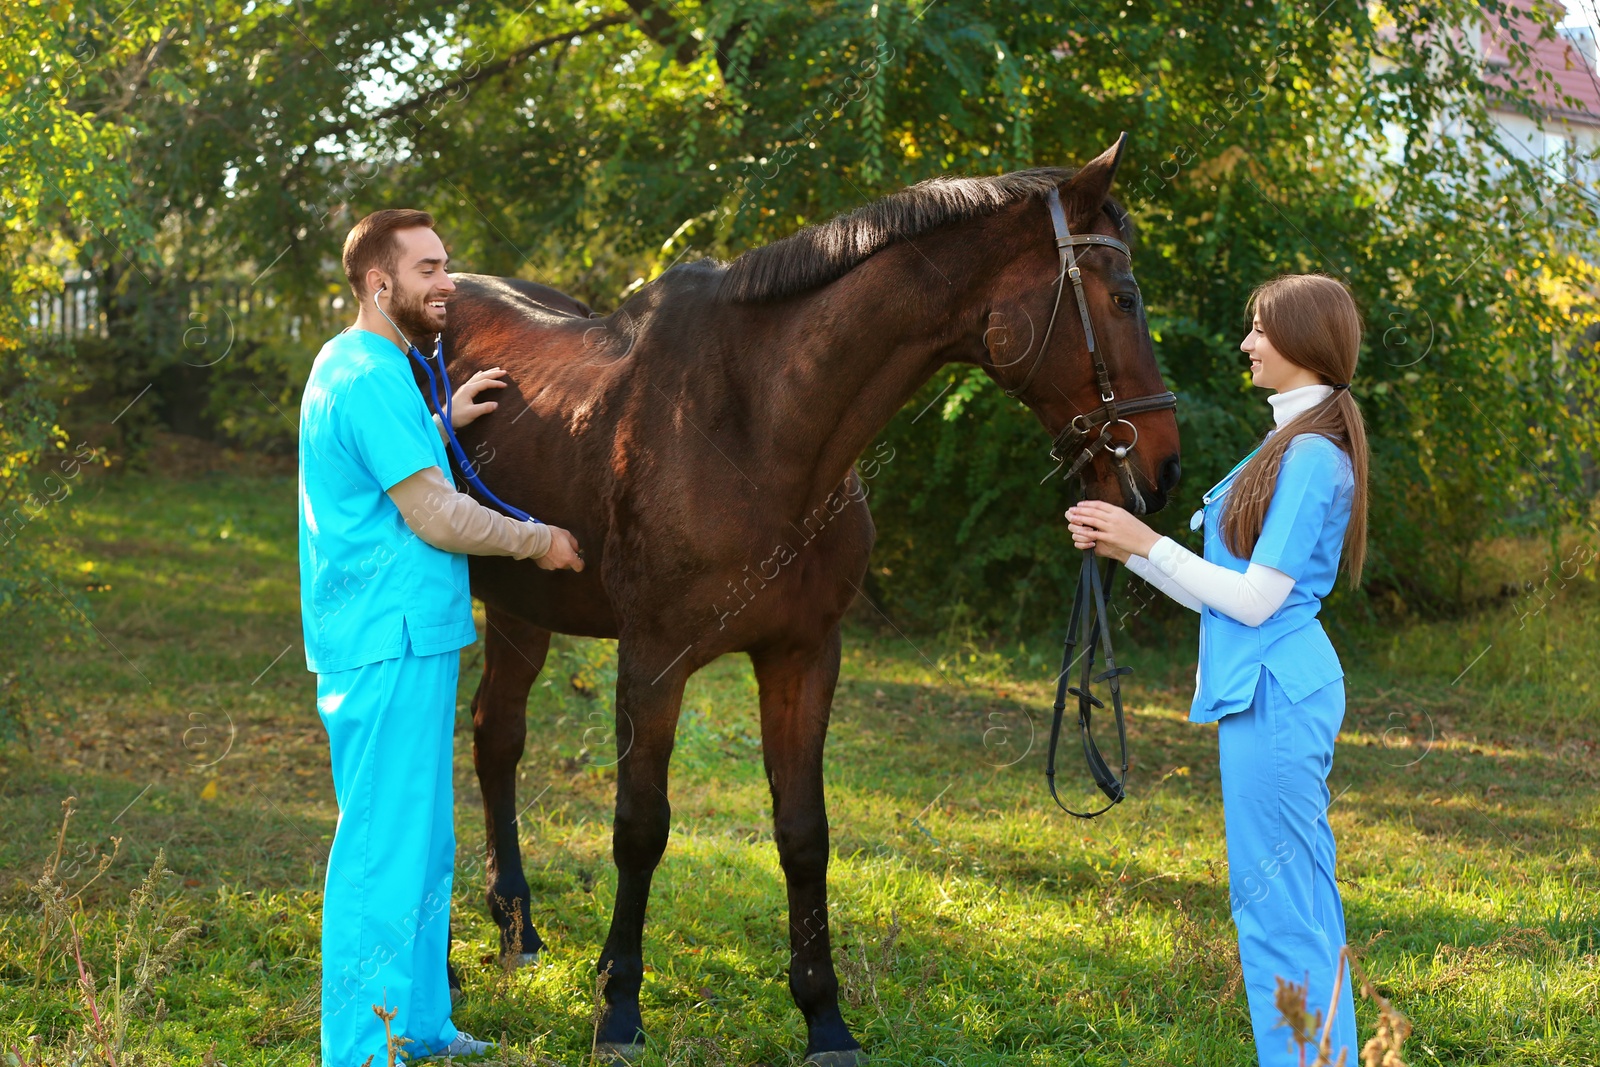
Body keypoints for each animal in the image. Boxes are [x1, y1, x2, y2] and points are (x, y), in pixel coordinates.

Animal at [438, 137, 1177, 1062]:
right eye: (1124, 297)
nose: (1163, 465)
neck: (759, 426)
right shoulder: (652, 661)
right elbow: (640, 826)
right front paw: (618, 1005)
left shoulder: (802, 657)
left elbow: (804, 834)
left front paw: (824, 1015)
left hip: (520, 605)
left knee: (496, 735)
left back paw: (517, 926)